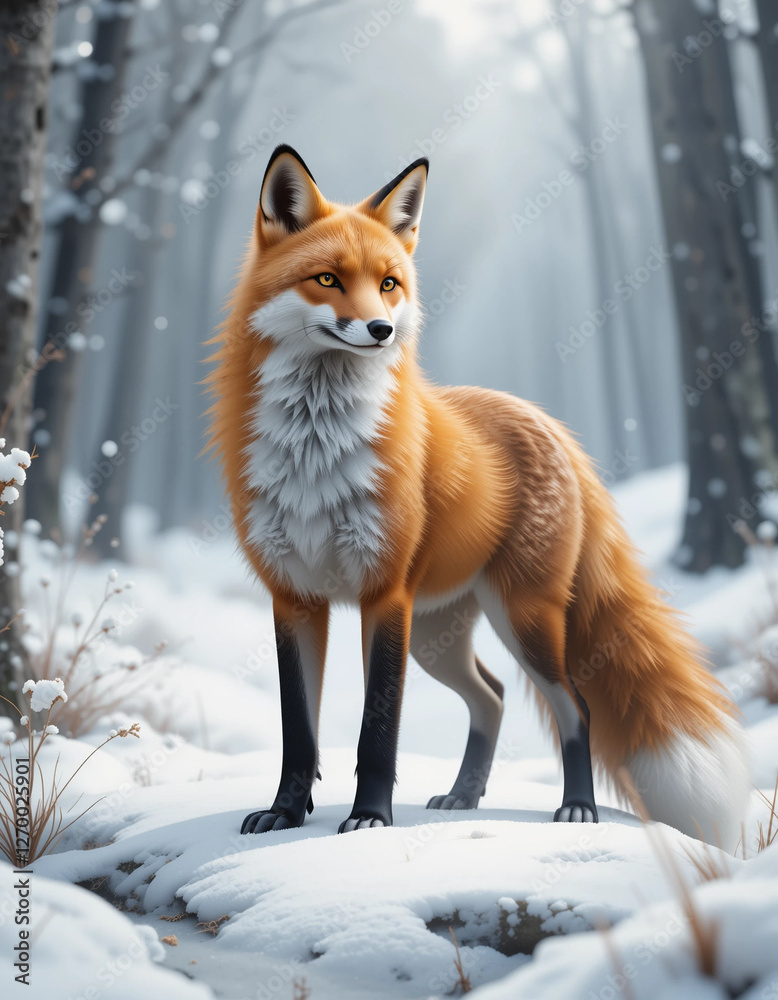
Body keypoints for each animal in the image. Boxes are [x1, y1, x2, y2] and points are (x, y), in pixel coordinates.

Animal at [205, 144, 750, 847]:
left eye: (389, 284)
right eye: (327, 279)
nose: (380, 329)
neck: (316, 450)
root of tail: (542, 418)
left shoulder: (386, 597)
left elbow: (377, 731)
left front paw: (370, 819)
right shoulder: (294, 599)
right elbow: (298, 732)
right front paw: (287, 813)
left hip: (523, 616)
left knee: (575, 704)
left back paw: (579, 809)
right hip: (442, 632)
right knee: (491, 694)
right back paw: (465, 795)